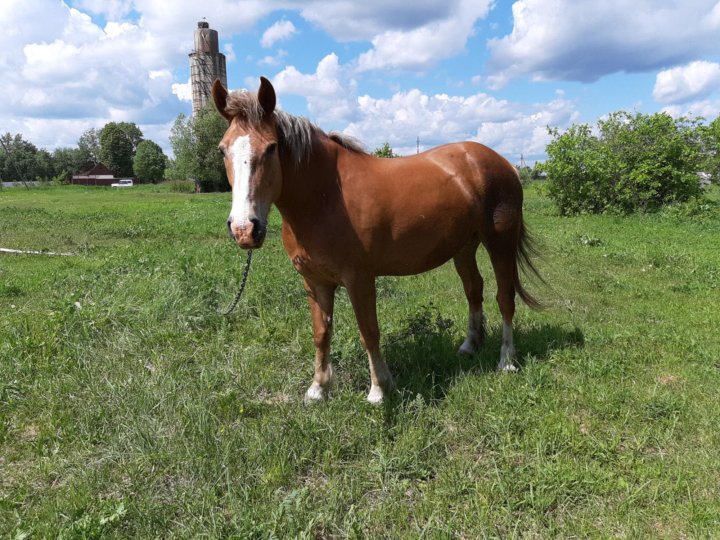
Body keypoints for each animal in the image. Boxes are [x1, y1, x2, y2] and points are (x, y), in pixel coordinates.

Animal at [213, 76, 542, 404]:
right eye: (222, 150)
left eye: (271, 148)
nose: (244, 229)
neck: (325, 196)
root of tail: (504, 164)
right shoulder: (314, 281)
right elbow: (321, 333)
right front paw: (318, 388)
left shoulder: (359, 279)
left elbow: (369, 332)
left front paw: (379, 389)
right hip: (464, 247)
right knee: (474, 290)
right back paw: (469, 346)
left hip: (500, 243)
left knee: (505, 298)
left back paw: (506, 361)